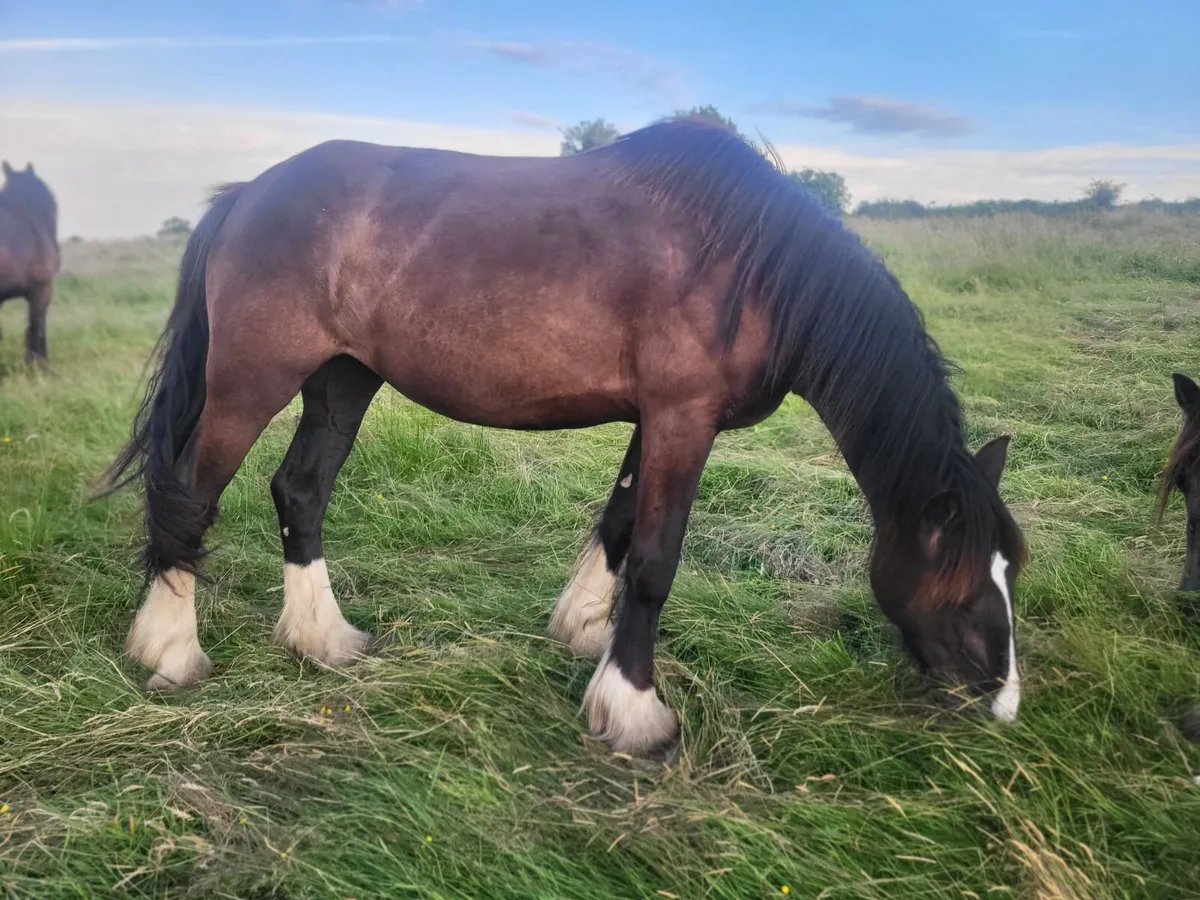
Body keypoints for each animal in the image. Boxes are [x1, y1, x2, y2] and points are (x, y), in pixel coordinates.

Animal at [104, 119, 1027, 756]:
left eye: (1010, 571)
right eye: (959, 588)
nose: (1001, 701)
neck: (750, 265)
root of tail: (245, 196)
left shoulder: (656, 420)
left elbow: (619, 527)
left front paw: (586, 634)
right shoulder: (683, 419)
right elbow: (655, 561)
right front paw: (636, 710)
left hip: (342, 379)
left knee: (300, 489)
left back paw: (323, 640)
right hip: (252, 380)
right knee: (191, 493)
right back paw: (171, 651)